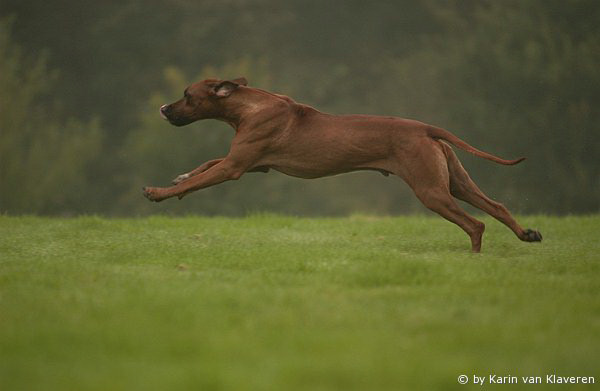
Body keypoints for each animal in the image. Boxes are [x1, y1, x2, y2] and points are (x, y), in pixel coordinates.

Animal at [143, 78, 540, 253]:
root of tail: (426, 128)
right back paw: (526, 234)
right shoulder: (252, 162)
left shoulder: (236, 165)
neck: (249, 106)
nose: (162, 109)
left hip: (431, 190)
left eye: (187, 96)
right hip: (454, 181)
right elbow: (204, 165)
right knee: (496, 206)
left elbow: (201, 177)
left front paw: (159, 192)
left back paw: (474, 256)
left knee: (475, 223)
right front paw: (179, 176)